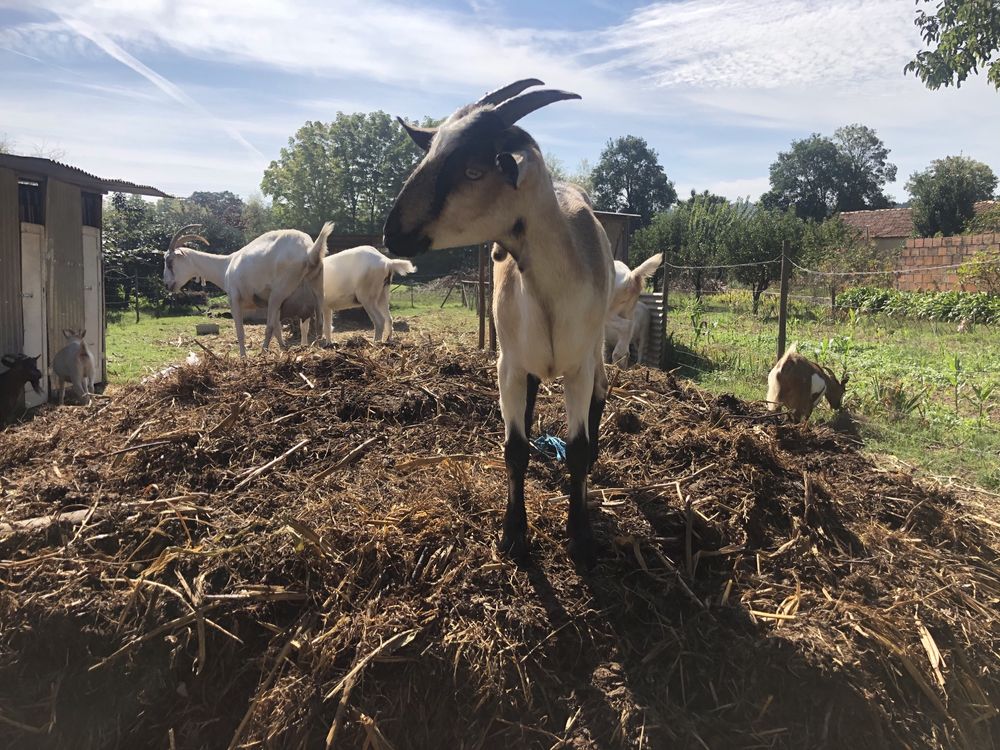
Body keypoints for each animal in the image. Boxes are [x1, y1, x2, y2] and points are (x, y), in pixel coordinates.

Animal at [386, 78, 612, 568]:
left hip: (597, 345)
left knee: (602, 393)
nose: (391, 233)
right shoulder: (508, 364)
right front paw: (513, 535)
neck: (548, 292)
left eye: (473, 171)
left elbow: (578, 448)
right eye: (429, 154)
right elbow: (514, 450)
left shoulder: (578, 367)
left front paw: (581, 536)